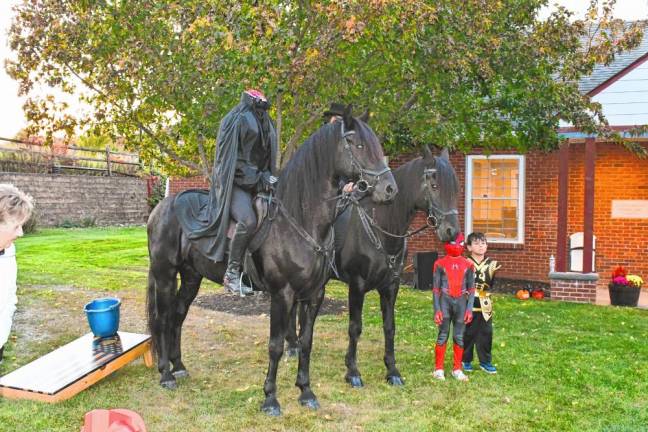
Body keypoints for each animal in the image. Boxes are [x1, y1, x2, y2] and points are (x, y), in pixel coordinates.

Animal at [146, 110, 398, 416]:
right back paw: (165, 374)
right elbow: (276, 345)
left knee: (178, 315)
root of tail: (159, 209)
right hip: (165, 274)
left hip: (192, 276)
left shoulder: (314, 294)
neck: (300, 221)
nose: (390, 189)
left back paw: (179, 366)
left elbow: (305, 341)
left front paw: (306, 391)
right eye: (358, 145)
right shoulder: (282, 294)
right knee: (162, 319)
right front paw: (270, 398)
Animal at [288, 147, 460, 386]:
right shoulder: (357, 286)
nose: (452, 231)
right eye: (434, 186)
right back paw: (292, 346)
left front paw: (392, 370)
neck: (381, 228)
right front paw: (352, 371)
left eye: (456, 188)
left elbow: (389, 327)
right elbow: (355, 327)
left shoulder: (391, 287)